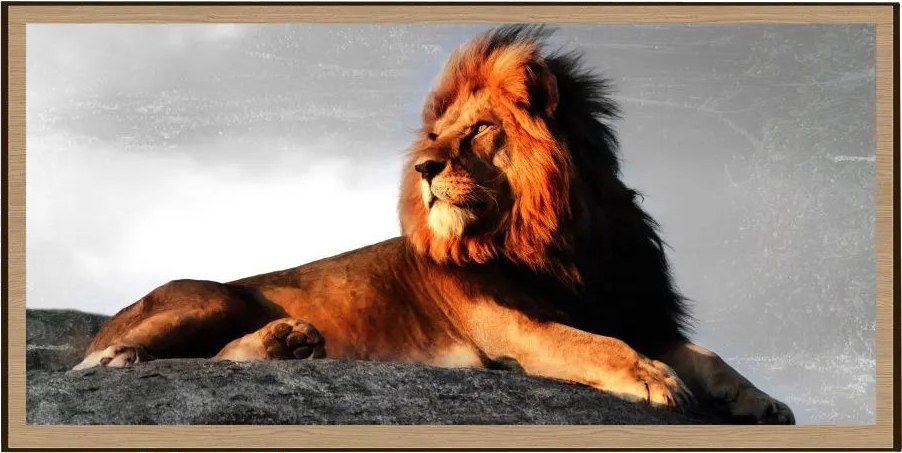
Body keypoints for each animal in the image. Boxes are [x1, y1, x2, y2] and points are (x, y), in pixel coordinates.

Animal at [75, 26, 794, 424]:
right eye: (435, 136)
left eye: (477, 130)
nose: (423, 167)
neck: (562, 240)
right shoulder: (512, 327)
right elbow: (595, 345)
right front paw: (654, 378)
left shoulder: (634, 309)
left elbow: (707, 355)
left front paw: (762, 401)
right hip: (211, 296)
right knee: (106, 358)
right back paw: (123, 354)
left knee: (224, 356)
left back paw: (290, 344)